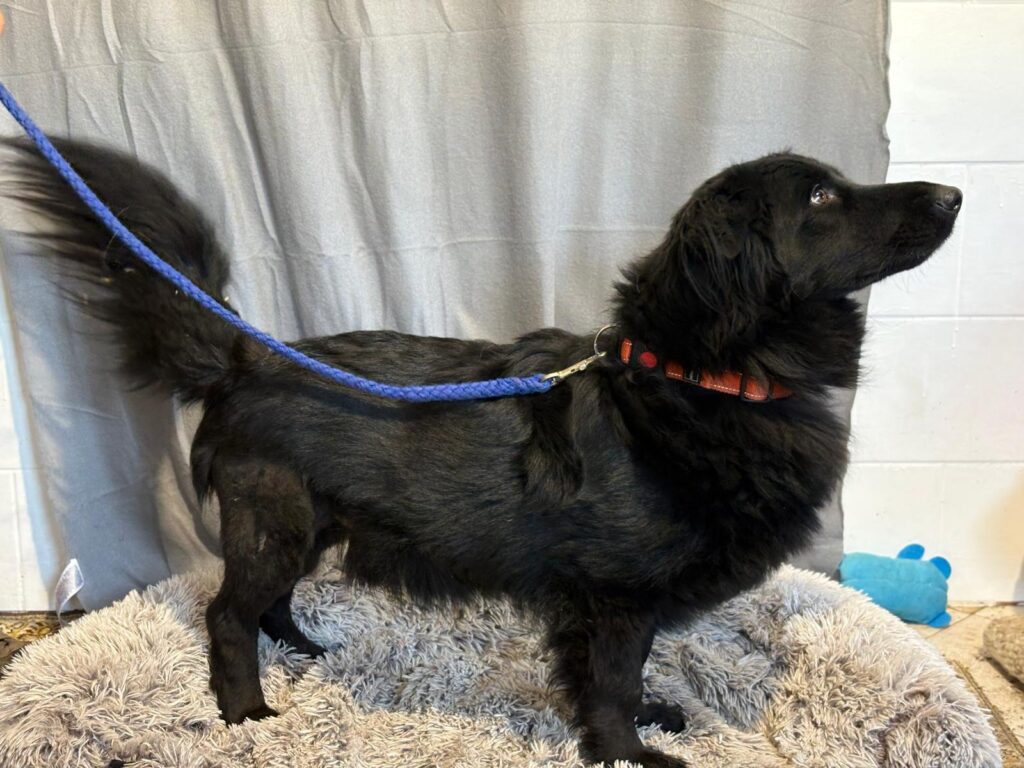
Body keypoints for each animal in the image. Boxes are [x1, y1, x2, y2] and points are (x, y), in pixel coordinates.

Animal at [4, 139, 960, 767]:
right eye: (823, 200)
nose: (953, 194)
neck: (695, 375)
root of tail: (248, 355)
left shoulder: (612, 606)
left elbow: (614, 676)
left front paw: (646, 717)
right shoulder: (616, 598)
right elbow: (611, 684)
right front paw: (627, 751)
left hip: (307, 526)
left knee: (268, 603)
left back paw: (308, 650)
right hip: (275, 521)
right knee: (227, 615)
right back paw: (247, 711)